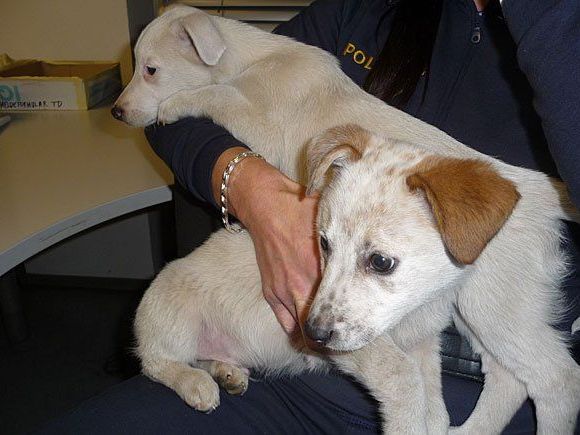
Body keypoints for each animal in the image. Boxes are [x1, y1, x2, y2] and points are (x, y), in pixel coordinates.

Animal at [306, 123, 576, 435]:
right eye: (324, 244)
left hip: (493, 304)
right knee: (506, 378)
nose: (312, 334)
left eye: (381, 262)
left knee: (559, 378)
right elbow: (430, 406)